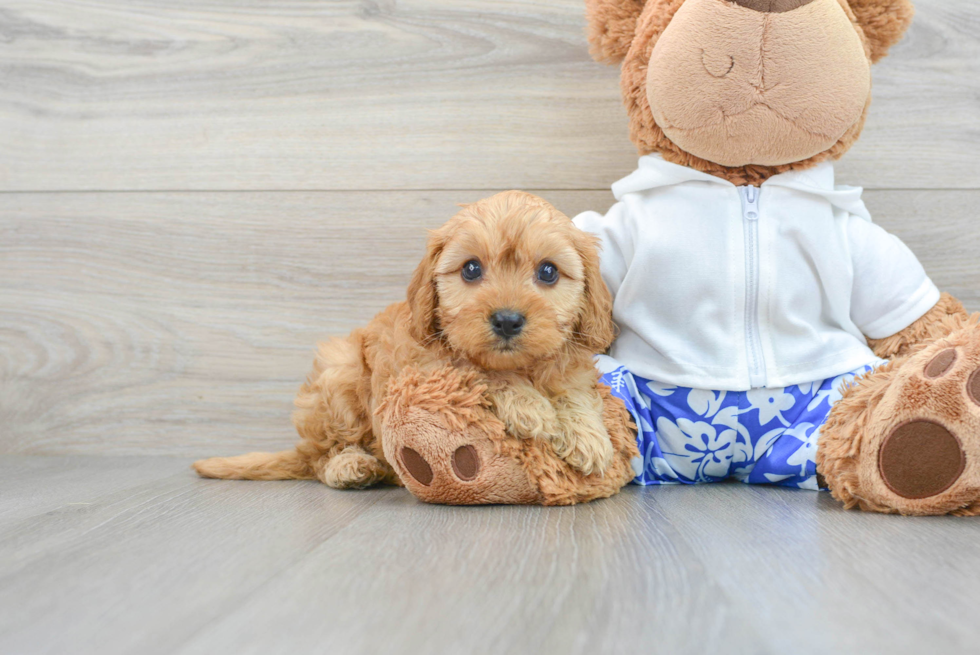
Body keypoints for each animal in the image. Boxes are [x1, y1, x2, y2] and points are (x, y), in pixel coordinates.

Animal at [194, 190, 616, 486]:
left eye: (548, 272)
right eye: (471, 269)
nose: (508, 321)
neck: (521, 364)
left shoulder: (571, 365)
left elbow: (574, 392)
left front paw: (588, 437)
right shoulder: (425, 368)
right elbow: (477, 370)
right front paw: (530, 405)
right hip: (339, 373)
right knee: (321, 457)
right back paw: (350, 466)